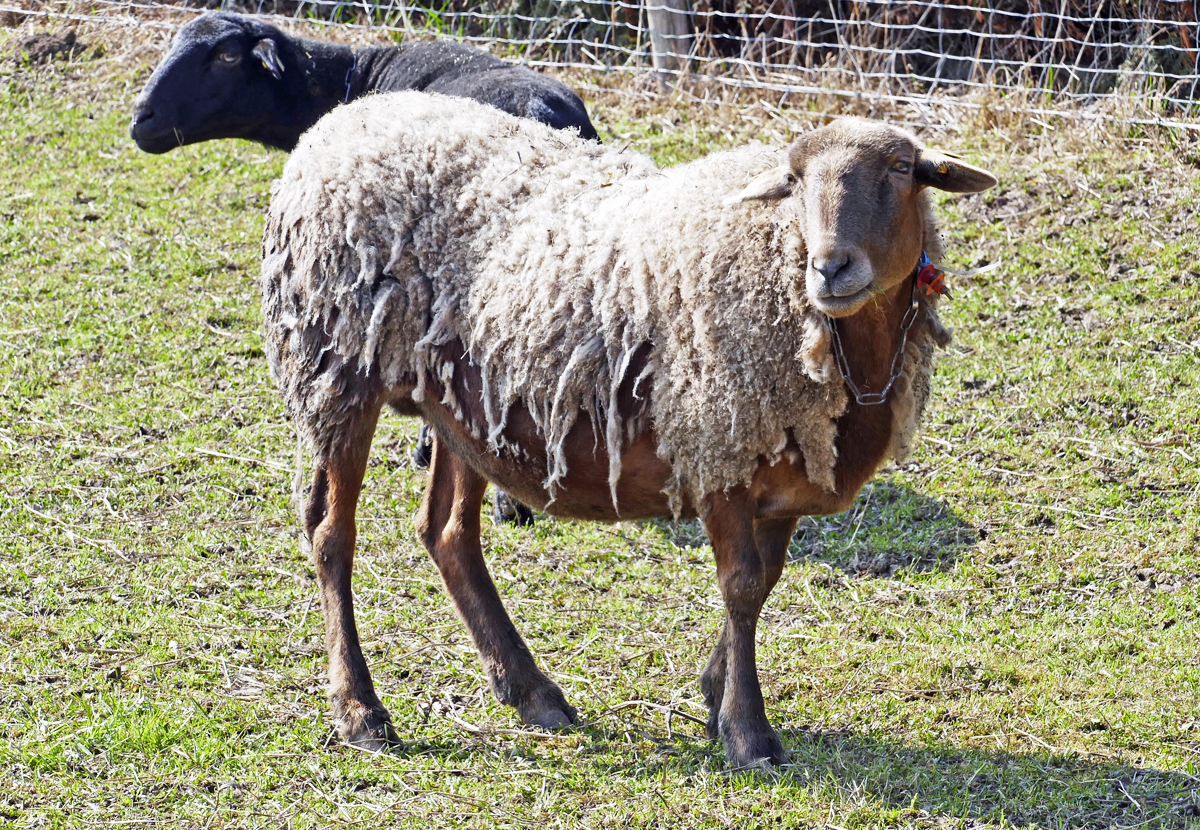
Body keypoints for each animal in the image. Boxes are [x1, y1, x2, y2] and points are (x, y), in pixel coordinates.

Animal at [260, 94, 993, 767]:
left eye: (900, 169)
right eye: (794, 178)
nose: (831, 268)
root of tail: (346, 117)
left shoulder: (785, 470)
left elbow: (767, 580)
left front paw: (715, 692)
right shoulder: (716, 447)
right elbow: (742, 587)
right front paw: (747, 730)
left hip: (462, 406)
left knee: (446, 532)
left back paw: (531, 692)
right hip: (336, 370)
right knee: (330, 533)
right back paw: (361, 712)